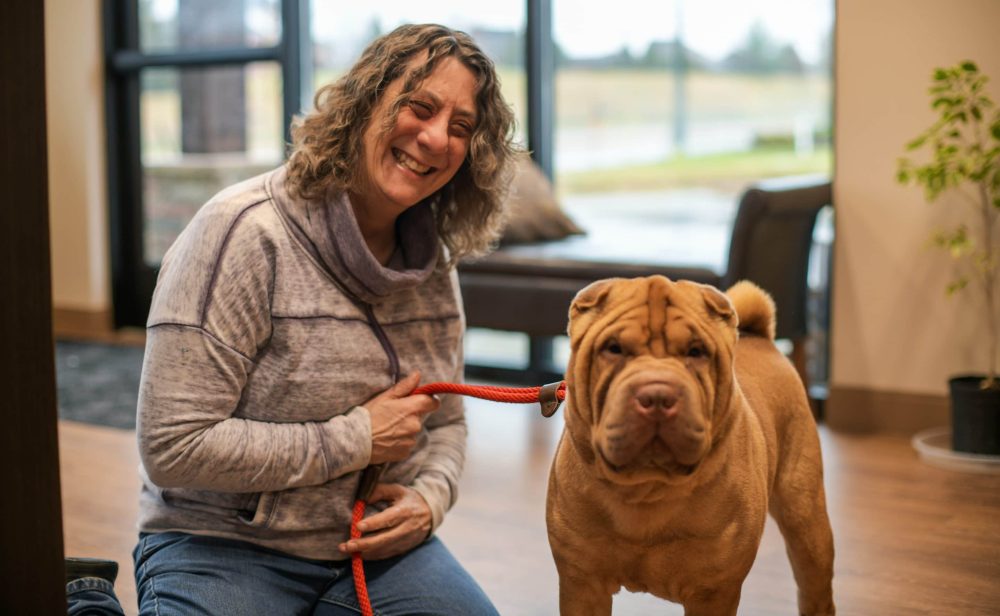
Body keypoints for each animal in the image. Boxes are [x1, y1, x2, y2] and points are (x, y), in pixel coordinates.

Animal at [548, 276, 836, 612]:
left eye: (696, 352)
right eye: (614, 349)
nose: (657, 396)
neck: (647, 491)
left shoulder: (714, 592)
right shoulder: (583, 583)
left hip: (806, 521)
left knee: (814, 586)